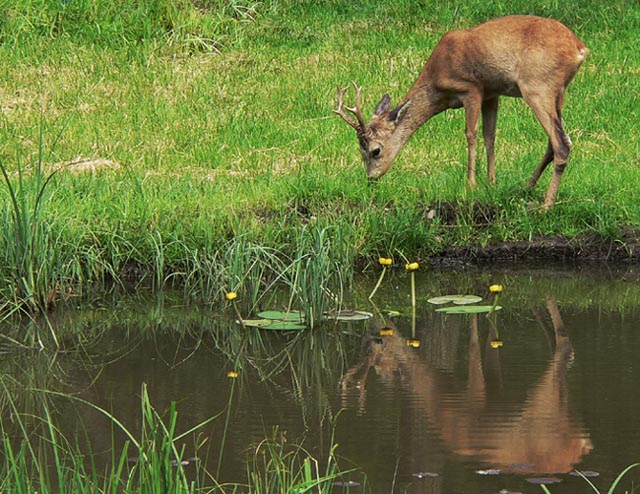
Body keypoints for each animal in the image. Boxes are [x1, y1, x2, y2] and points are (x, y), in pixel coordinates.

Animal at [336, 16, 592, 209]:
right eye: (360, 151)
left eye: (375, 150)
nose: (371, 178)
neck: (437, 82)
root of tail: (579, 48)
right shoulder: (491, 93)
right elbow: (490, 135)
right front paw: (491, 182)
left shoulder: (471, 88)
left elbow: (471, 134)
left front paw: (471, 184)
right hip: (558, 93)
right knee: (556, 141)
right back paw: (525, 187)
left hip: (538, 86)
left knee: (561, 143)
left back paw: (545, 206)